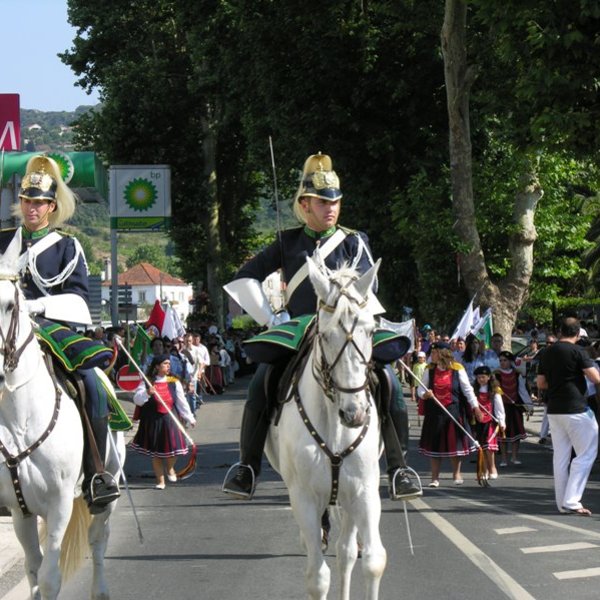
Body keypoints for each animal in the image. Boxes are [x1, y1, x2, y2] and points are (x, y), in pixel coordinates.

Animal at [0, 274, 123, 600]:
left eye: (9, 305)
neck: (19, 420)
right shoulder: (19, 508)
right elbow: (33, 570)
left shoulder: (60, 502)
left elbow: (49, 578)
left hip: (108, 490)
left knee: (98, 540)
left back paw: (100, 591)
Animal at [264, 256, 386, 600]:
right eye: (327, 335)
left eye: (371, 331)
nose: (355, 414)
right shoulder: (304, 498)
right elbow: (317, 577)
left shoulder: (364, 491)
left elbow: (372, 561)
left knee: (346, 552)